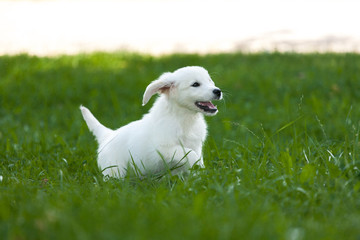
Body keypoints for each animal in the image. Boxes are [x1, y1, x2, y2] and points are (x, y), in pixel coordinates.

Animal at [81, 66, 222, 178]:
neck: (184, 118)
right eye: (195, 84)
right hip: (114, 170)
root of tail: (107, 135)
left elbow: (196, 159)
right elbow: (191, 154)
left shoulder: (196, 146)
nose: (218, 91)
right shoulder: (162, 149)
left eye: (209, 80)